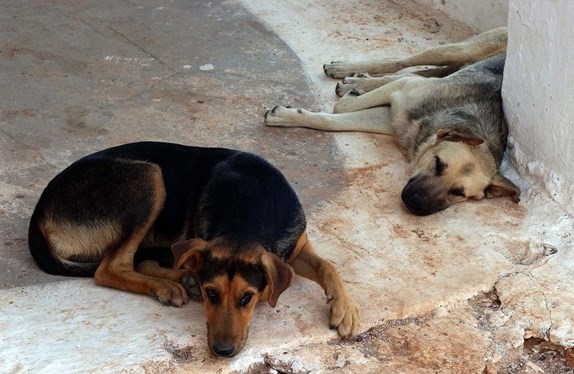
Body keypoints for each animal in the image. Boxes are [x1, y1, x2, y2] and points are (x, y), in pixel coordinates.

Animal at [29, 142, 360, 358]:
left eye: (246, 298)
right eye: (211, 293)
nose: (222, 352)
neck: (246, 218)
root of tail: (40, 213)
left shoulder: (296, 243)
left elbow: (328, 265)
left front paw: (345, 308)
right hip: (149, 178)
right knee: (112, 268)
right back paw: (168, 284)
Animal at [266, 27, 520, 216]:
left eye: (458, 193)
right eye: (438, 163)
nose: (415, 204)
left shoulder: (390, 119)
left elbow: (335, 119)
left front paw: (289, 115)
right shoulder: (401, 94)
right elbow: (340, 108)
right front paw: (286, 115)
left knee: (418, 72)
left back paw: (357, 80)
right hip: (458, 51)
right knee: (403, 65)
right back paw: (349, 73)